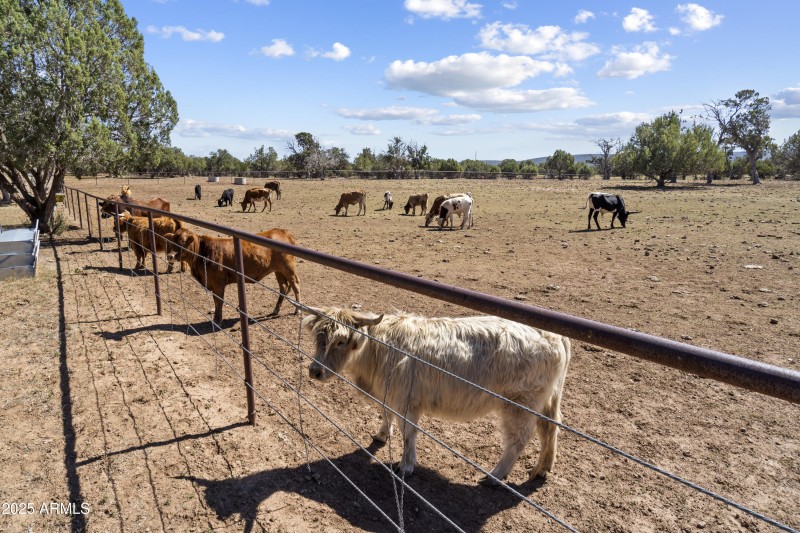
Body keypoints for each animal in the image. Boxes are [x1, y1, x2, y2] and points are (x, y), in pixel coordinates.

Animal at [165, 227, 301, 324]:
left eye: (182, 241)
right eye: (172, 241)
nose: (170, 256)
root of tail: (284, 231)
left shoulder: (218, 283)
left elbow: (218, 301)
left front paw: (217, 320)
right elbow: (216, 301)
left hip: (289, 268)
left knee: (296, 286)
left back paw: (298, 310)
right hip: (278, 271)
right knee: (283, 287)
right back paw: (275, 310)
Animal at [303, 307, 571, 485]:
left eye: (340, 341)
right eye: (318, 337)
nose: (314, 371)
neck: (379, 347)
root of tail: (555, 335)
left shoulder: (407, 402)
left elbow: (408, 434)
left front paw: (406, 466)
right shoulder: (389, 395)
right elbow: (386, 415)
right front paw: (381, 435)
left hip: (519, 404)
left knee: (519, 438)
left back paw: (495, 476)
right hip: (546, 400)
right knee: (549, 429)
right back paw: (541, 469)